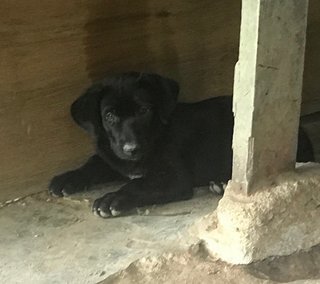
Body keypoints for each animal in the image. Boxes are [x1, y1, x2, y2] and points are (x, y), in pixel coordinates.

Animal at [48, 72, 316, 216]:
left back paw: (222, 182)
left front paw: (112, 198)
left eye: (144, 110)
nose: (132, 149)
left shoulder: (174, 177)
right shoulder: (113, 156)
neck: (156, 134)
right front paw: (66, 179)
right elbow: (93, 163)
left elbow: (138, 184)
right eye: (110, 116)